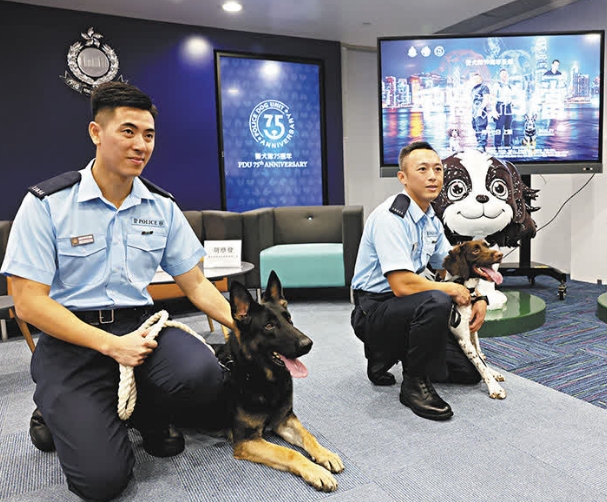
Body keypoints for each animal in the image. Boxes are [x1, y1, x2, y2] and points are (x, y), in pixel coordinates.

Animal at [216, 272, 344, 492]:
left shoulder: (284, 421)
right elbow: (289, 452)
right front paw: (317, 472)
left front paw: (325, 454)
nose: (308, 344)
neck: (263, 379)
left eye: (289, 319)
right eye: (269, 325)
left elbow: (309, 436)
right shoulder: (247, 441)